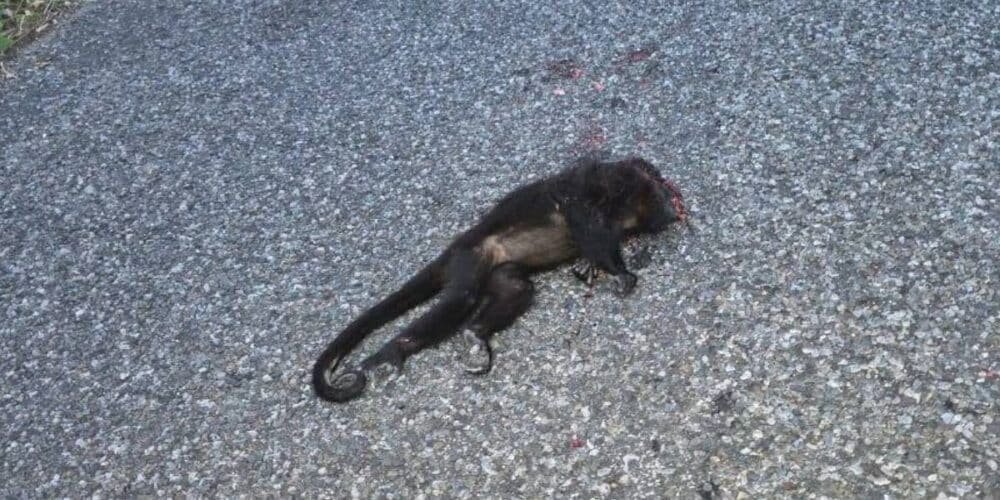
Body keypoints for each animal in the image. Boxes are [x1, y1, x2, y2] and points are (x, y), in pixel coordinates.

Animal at [312, 157, 686, 403]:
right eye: (660, 190)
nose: (674, 209)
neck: (611, 200)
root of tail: (455, 247)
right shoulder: (579, 198)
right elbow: (592, 238)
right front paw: (621, 272)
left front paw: (591, 268)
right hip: (471, 256)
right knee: (461, 297)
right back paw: (395, 349)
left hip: (498, 268)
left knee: (518, 289)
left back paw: (476, 332)